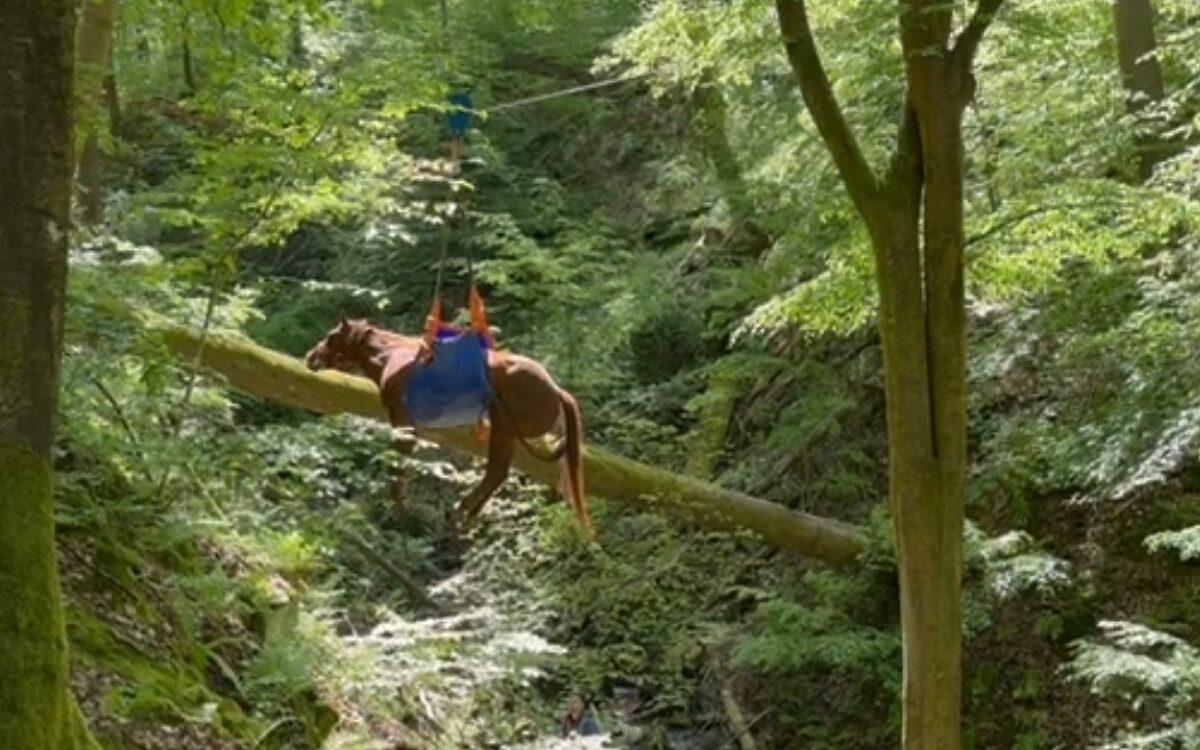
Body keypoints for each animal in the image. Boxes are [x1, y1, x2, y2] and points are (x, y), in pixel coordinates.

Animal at [303, 317, 590, 533]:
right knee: (497, 474)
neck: (393, 357)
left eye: (331, 337)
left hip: (503, 427)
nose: (310, 357)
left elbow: (398, 471)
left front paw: (399, 514)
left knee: (495, 473)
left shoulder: (404, 423)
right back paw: (466, 514)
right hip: (505, 433)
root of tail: (556, 391)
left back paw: (461, 511)